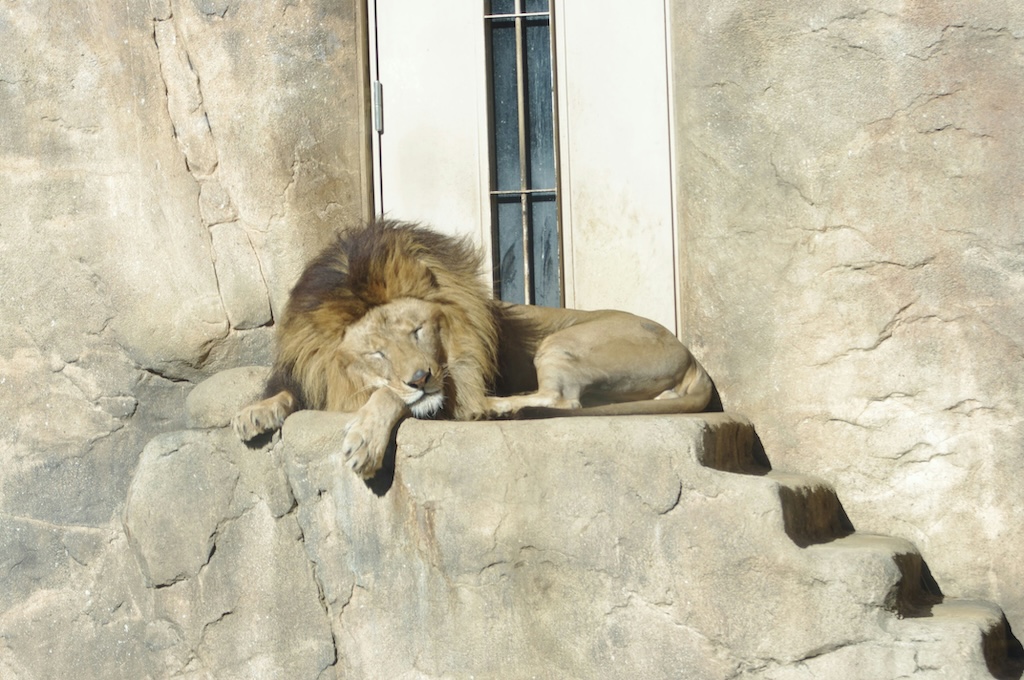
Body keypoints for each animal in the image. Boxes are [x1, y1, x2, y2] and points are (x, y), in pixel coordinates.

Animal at [233, 219, 713, 478]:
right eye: (376, 353)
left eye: (417, 331)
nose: (421, 378)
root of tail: (690, 356)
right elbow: (290, 392)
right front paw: (255, 411)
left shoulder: (447, 389)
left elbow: (389, 397)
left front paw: (365, 441)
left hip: (561, 342)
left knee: (565, 401)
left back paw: (501, 408)